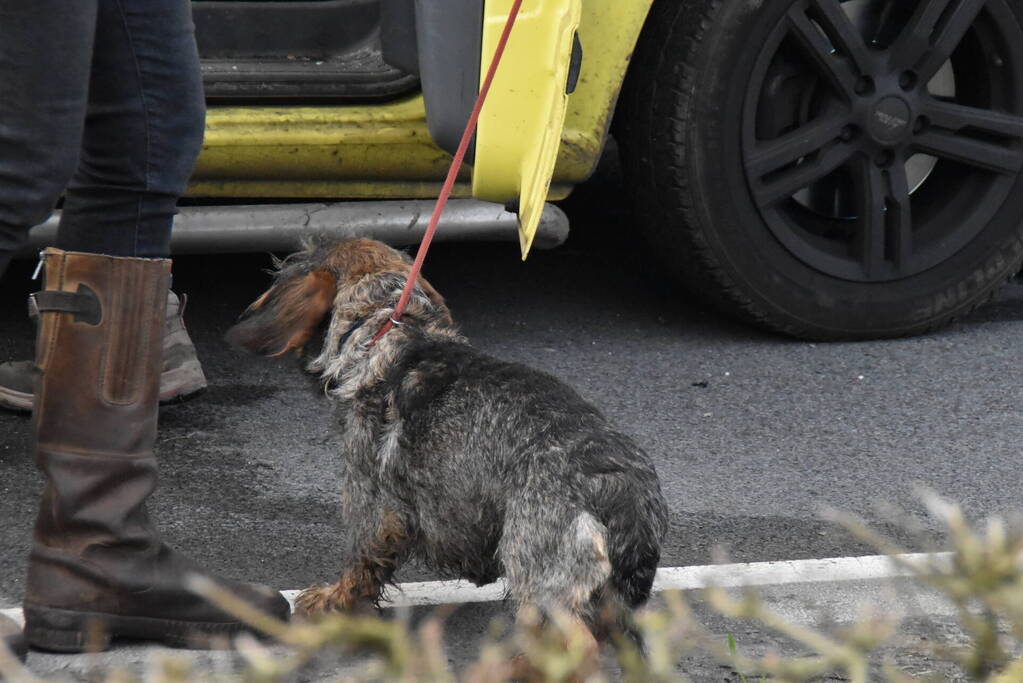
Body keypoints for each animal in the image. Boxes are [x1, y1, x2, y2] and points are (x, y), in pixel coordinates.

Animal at [226, 237, 671, 650]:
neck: (387, 328)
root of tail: (622, 490)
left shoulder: (370, 495)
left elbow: (361, 558)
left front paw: (334, 600)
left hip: (540, 574)